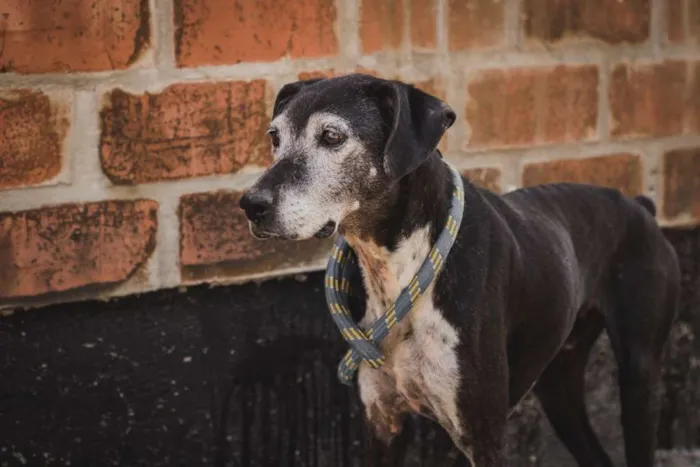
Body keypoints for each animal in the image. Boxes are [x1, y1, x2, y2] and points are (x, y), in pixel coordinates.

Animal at [238, 74, 680, 467]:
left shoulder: (482, 434)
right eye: (274, 137)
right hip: (559, 385)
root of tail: (640, 206)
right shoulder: (383, 422)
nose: (250, 205)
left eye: (332, 136)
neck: (401, 271)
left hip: (640, 373)